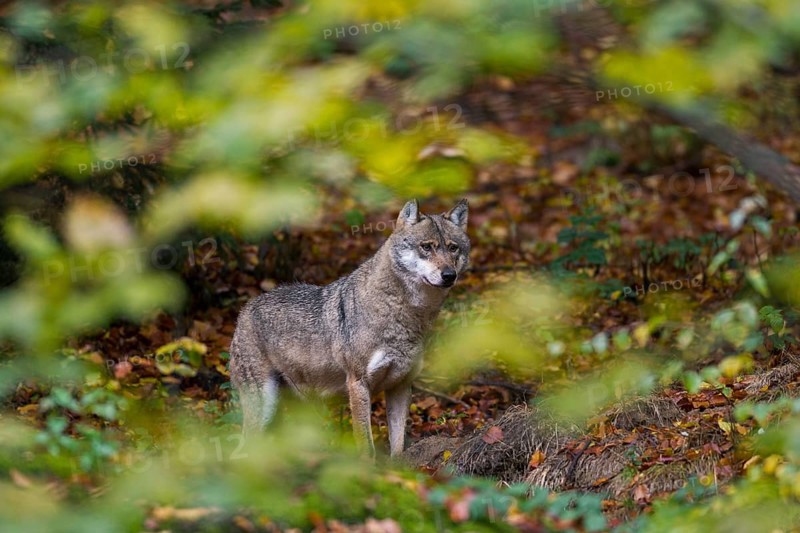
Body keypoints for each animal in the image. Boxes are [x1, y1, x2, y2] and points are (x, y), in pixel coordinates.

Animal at [229, 199, 470, 457]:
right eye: (427, 247)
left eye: (453, 248)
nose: (449, 275)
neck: (405, 317)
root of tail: (244, 311)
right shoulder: (358, 384)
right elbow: (366, 445)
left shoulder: (401, 384)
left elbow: (398, 445)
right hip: (264, 407)